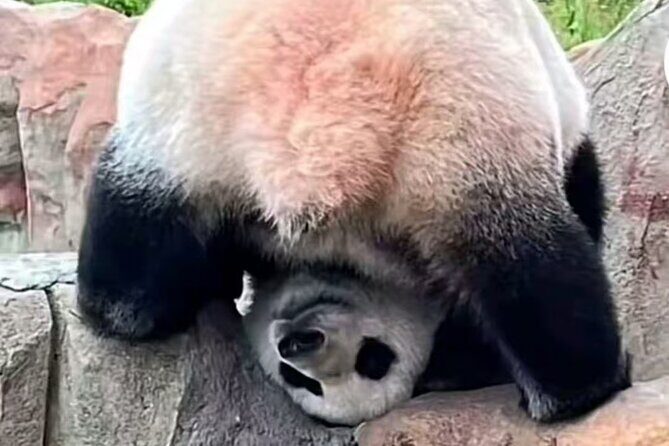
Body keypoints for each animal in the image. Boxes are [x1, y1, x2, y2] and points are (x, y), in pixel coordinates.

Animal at [76, 0, 631, 425]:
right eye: (301, 378)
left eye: (374, 359)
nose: (304, 345)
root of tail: (324, 121)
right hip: (467, 125)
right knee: (532, 270)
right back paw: (583, 387)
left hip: (180, 126)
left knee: (132, 261)